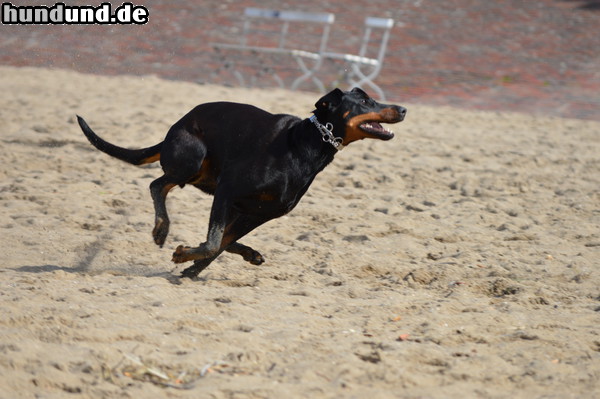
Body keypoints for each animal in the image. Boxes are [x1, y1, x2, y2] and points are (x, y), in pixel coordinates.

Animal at [77, 88, 408, 280]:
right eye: (364, 100)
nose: (403, 109)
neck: (305, 145)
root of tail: (177, 124)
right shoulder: (228, 191)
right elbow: (213, 242)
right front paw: (183, 255)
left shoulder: (262, 213)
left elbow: (218, 245)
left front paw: (191, 268)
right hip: (192, 160)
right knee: (158, 185)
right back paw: (161, 229)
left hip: (211, 184)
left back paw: (248, 253)